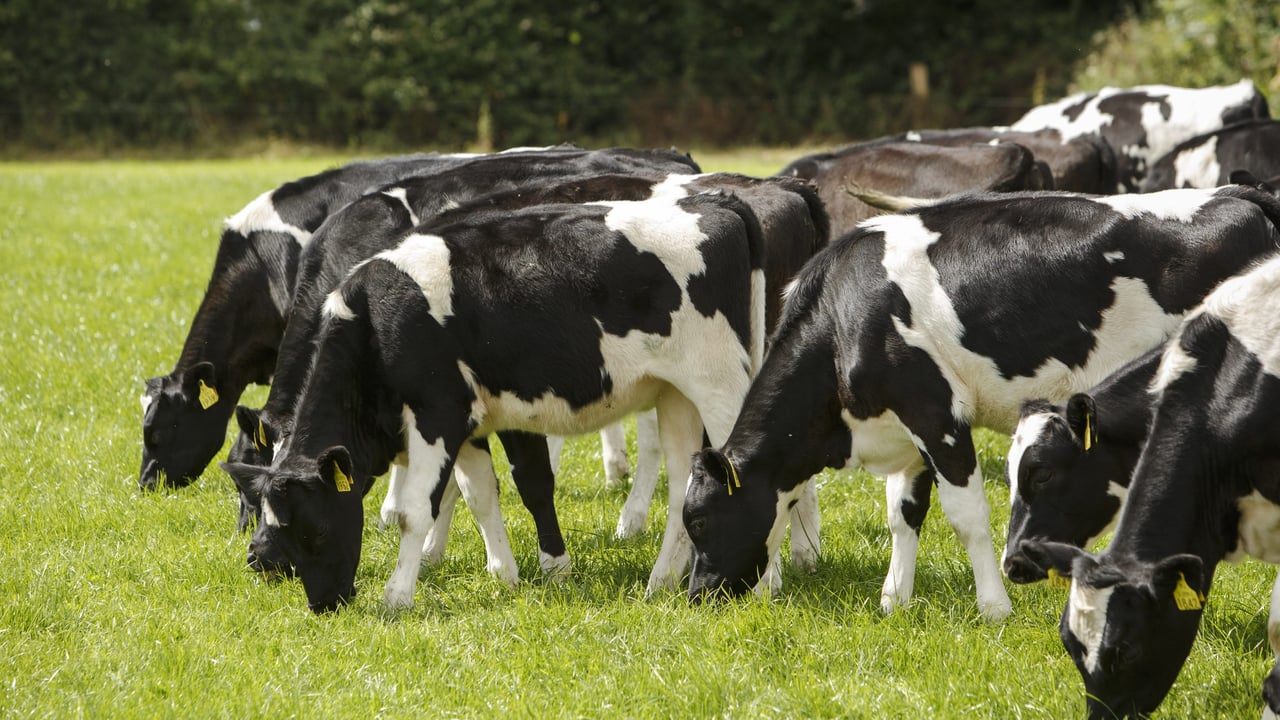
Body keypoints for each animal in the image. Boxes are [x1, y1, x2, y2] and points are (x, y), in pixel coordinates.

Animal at [231, 171, 828, 588]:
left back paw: (772, 578)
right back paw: (665, 580)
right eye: (254, 497)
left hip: (722, 388)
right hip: (677, 395)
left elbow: (429, 505)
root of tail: (722, 202)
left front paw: (403, 591)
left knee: (764, 476)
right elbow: (480, 493)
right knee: (689, 477)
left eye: (310, 526)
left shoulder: (439, 414)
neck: (376, 320)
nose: (258, 558)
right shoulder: (472, 420)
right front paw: (505, 573)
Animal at [682, 184, 1280, 622]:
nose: (696, 595)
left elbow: (966, 516)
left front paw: (994, 606)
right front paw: (894, 600)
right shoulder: (907, 429)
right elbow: (903, 514)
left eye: (700, 521)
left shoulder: (937, 414)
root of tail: (1239, 193)